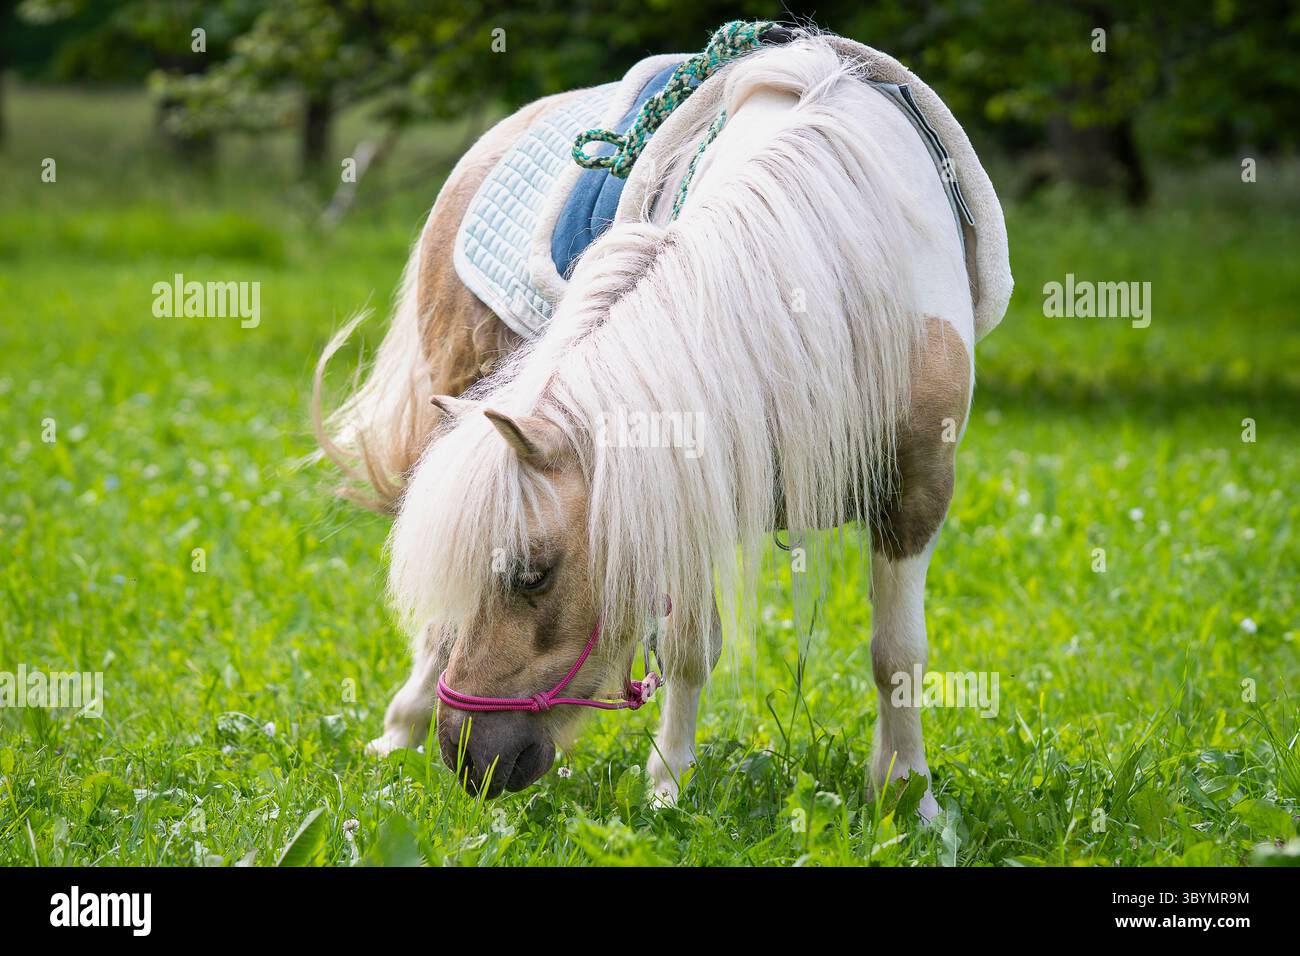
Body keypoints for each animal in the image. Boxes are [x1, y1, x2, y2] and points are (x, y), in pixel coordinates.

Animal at [313, 23, 1012, 818]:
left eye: (533, 575)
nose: (468, 760)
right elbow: (688, 648)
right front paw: (669, 787)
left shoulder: (918, 490)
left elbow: (898, 655)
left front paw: (908, 796)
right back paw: (399, 728)